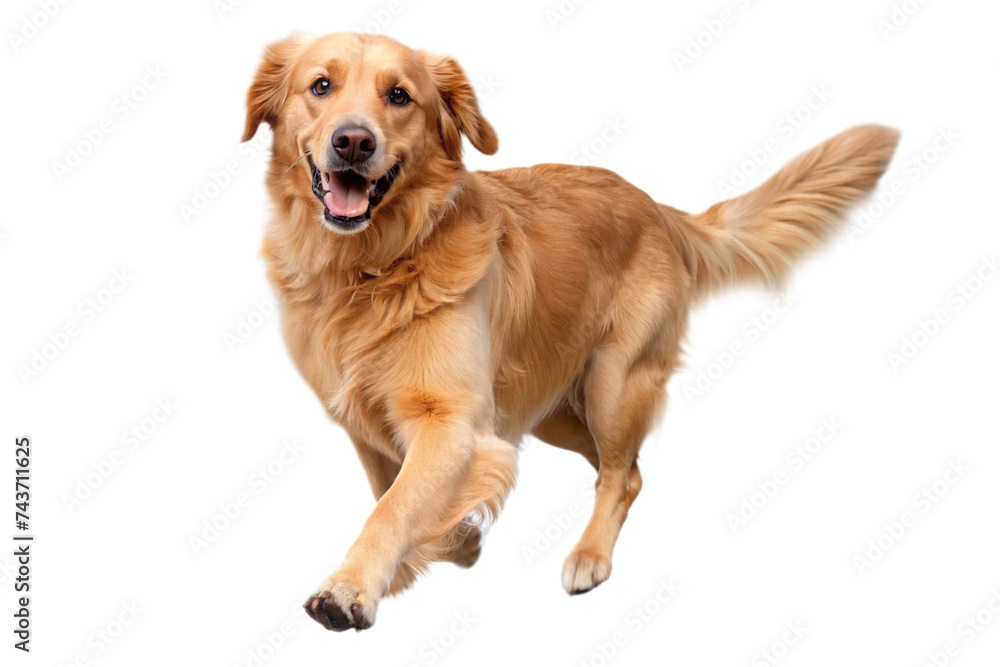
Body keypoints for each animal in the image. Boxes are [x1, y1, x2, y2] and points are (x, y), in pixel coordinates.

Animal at [240, 34, 900, 636]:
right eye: (320, 86)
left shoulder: (450, 420)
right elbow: (394, 494)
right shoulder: (372, 424)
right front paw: (452, 543)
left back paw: (590, 556)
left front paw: (352, 587)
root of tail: (658, 208)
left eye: (399, 95)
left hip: (614, 383)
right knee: (627, 469)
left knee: (619, 472)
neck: (370, 270)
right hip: (551, 407)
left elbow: (395, 506)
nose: (353, 141)